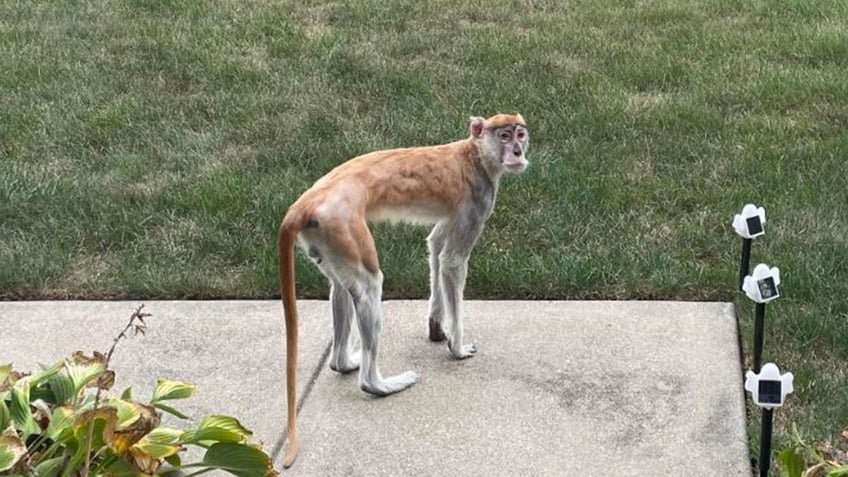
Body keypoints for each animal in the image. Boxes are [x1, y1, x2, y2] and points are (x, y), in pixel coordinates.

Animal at [278, 113, 528, 466]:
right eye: (504, 136)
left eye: (521, 133)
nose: (518, 152)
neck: (474, 153)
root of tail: (306, 203)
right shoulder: (477, 199)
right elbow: (452, 261)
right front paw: (457, 347)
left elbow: (436, 247)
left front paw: (436, 326)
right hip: (343, 226)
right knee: (369, 286)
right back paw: (377, 384)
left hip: (324, 236)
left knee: (340, 288)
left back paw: (343, 362)